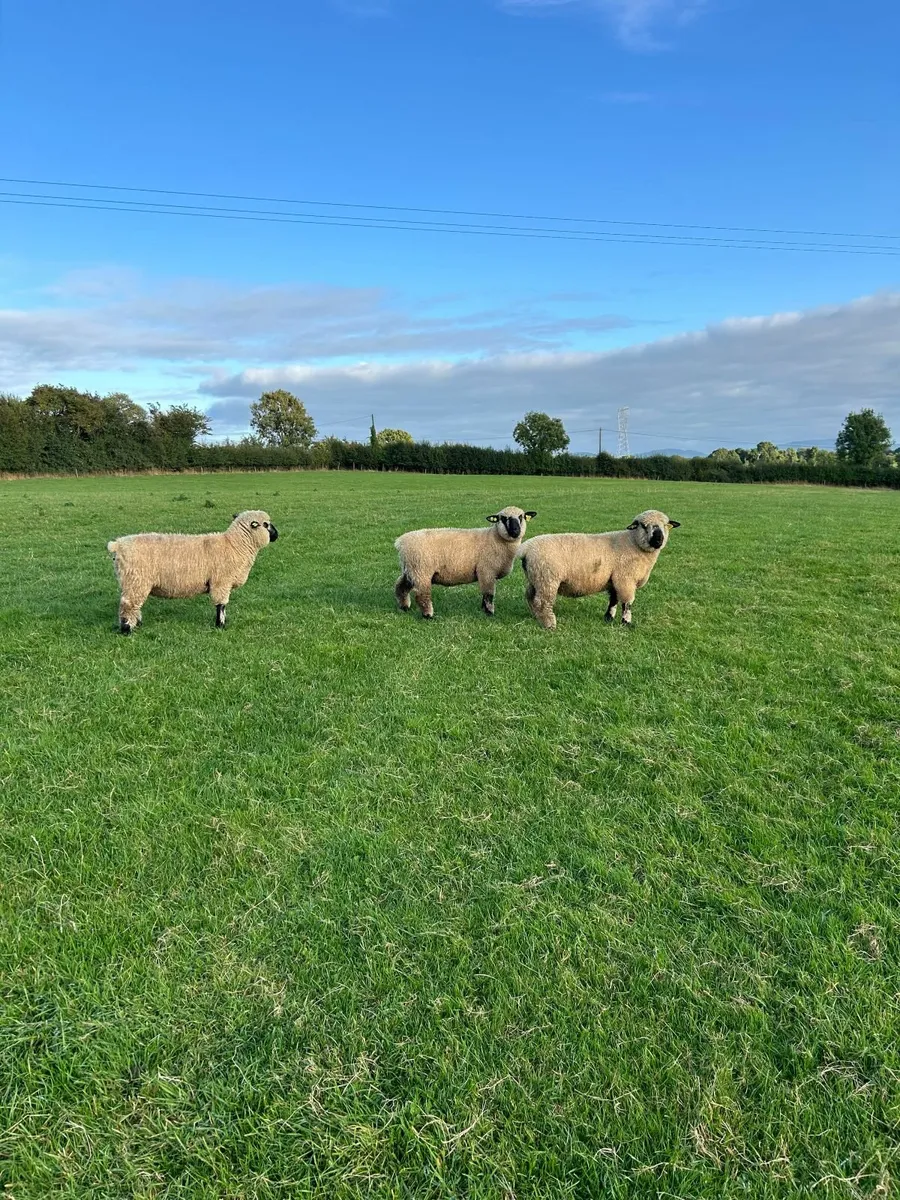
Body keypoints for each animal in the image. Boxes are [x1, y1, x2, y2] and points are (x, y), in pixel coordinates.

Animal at [107, 509, 279, 634]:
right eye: (266, 524)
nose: (277, 534)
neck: (234, 545)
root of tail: (118, 545)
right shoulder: (221, 582)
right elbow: (221, 605)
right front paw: (220, 625)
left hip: (131, 582)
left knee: (133, 605)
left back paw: (136, 624)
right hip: (136, 579)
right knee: (128, 605)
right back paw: (127, 630)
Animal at [394, 506, 537, 618]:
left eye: (521, 517)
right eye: (503, 518)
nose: (515, 531)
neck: (495, 538)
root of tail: (401, 542)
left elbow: (485, 595)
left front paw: (483, 610)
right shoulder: (486, 571)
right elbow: (489, 594)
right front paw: (489, 613)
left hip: (411, 569)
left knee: (400, 586)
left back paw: (404, 607)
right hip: (421, 570)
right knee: (422, 595)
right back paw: (428, 615)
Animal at [519, 509, 680, 631]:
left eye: (665, 525)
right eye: (643, 526)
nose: (658, 540)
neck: (633, 543)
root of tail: (526, 548)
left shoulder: (615, 579)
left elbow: (613, 600)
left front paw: (608, 618)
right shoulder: (626, 579)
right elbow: (627, 603)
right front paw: (626, 623)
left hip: (536, 578)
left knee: (530, 596)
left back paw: (536, 616)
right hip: (547, 579)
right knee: (542, 602)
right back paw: (549, 625)